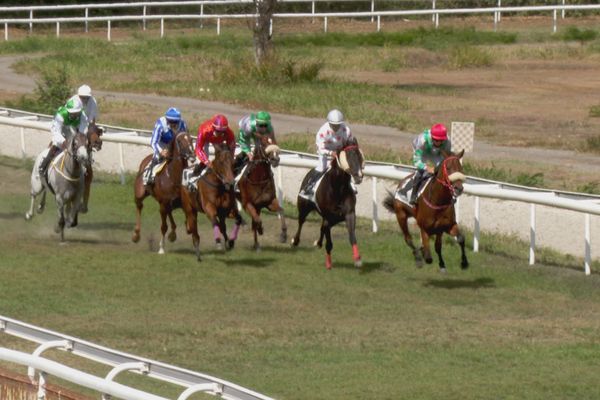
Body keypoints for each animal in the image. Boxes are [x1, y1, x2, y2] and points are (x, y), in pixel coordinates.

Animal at [290, 136, 366, 270]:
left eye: (360, 156)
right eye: (348, 156)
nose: (359, 176)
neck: (337, 189)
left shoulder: (349, 214)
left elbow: (352, 236)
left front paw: (357, 259)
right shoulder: (328, 215)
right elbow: (329, 241)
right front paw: (329, 263)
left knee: (323, 227)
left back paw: (318, 242)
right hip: (303, 207)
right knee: (301, 222)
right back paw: (295, 240)